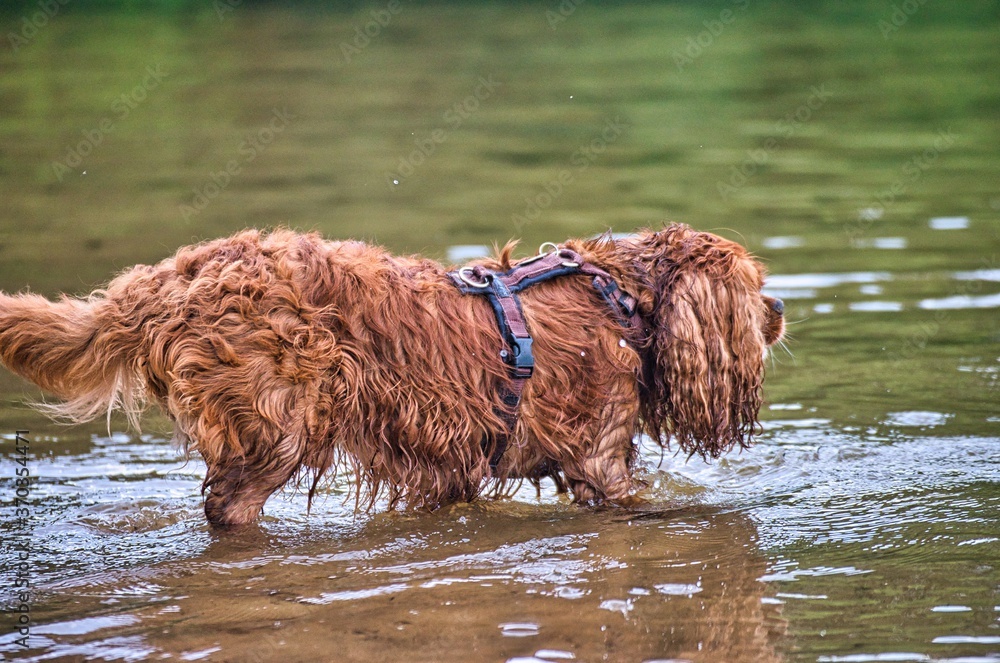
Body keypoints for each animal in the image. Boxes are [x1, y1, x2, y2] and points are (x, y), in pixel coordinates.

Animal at [0, 226, 780, 528]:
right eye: (755, 287)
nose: (780, 309)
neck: (620, 297)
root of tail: (171, 277)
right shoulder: (601, 459)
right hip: (278, 422)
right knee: (229, 503)